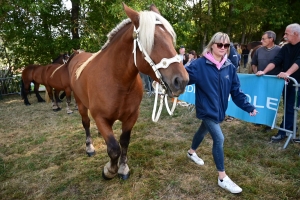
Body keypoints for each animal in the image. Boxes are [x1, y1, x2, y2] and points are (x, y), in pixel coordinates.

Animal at [67, 3, 189, 180]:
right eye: (151, 41)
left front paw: (123, 168)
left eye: (170, 39)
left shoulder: (131, 116)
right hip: (80, 103)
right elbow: (113, 148)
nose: (182, 81)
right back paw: (89, 147)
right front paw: (109, 170)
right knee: (86, 123)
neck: (117, 82)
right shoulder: (100, 117)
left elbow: (124, 142)